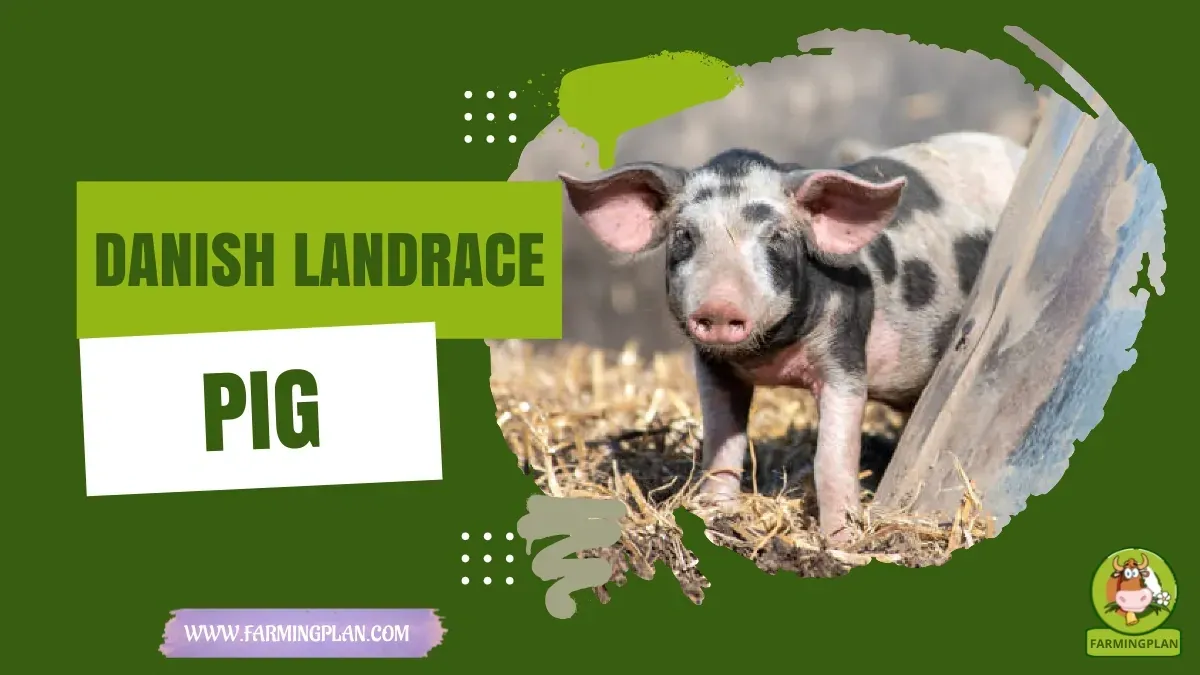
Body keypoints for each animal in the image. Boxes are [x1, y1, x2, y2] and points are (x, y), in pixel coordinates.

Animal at [558, 131, 1027, 544]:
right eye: (684, 235)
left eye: (778, 237)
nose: (720, 306)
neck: (770, 357)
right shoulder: (713, 368)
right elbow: (722, 447)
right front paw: (714, 513)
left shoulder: (844, 357)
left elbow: (831, 461)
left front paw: (840, 541)